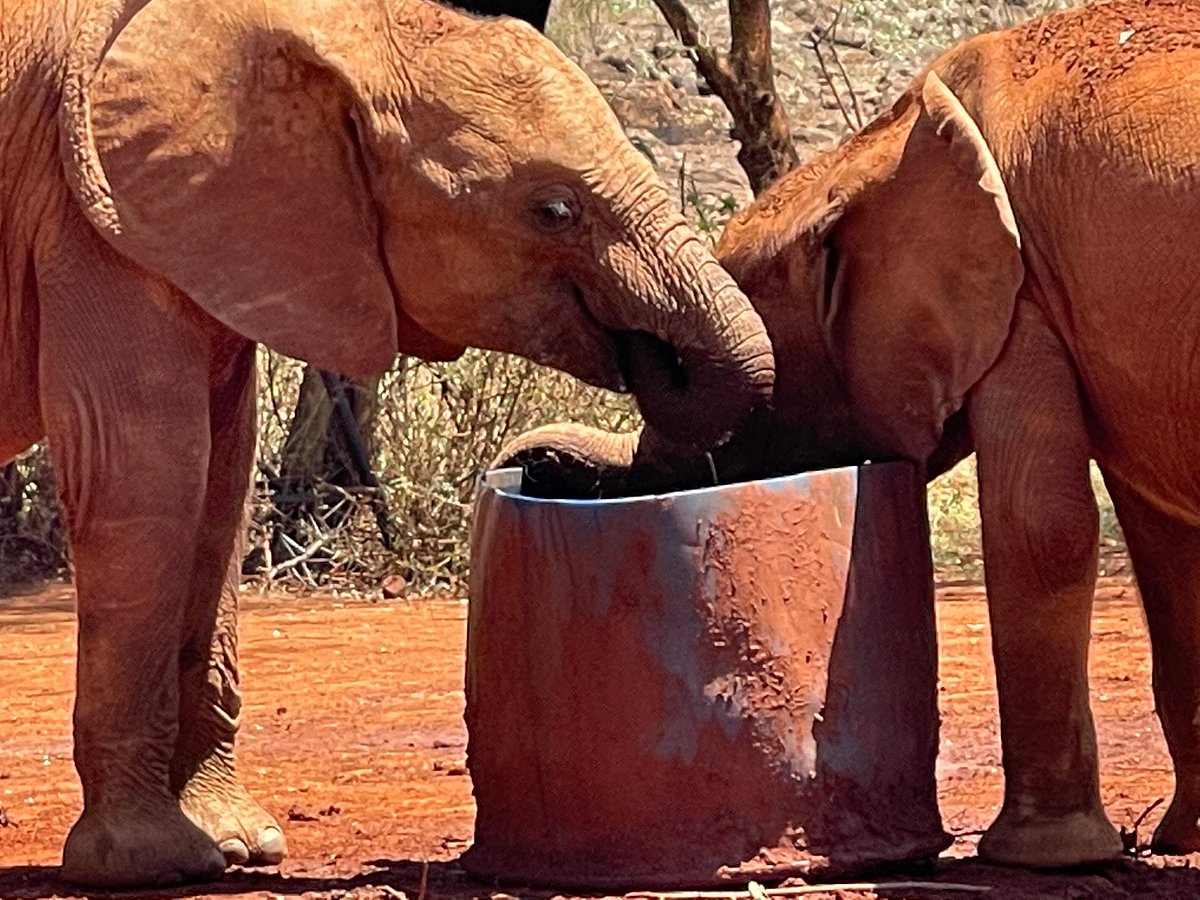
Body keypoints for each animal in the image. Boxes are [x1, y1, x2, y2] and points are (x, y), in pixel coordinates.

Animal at [0, 0, 772, 888]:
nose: (650, 354)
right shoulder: (89, 219)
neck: (334, 28)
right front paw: (153, 864)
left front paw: (239, 848)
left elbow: (220, 488)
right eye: (554, 210)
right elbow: (146, 472)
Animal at [489, 0, 1200, 873]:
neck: (886, 142)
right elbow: (1164, 542)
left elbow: (1042, 525)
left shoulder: (1021, 291)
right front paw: (1180, 840)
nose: (528, 472)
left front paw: (1035, 859)